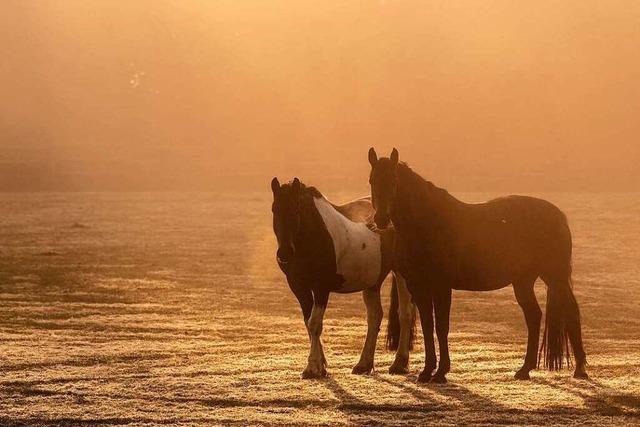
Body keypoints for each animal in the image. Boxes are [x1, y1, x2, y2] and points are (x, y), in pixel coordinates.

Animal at [268, 179, 416, 380]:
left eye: (296, 210)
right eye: (274, 209)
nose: (284, 253)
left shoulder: (321, 288)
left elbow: (315, 324)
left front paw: (313, 367)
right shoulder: (299, 287)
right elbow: (308, 322)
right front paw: (321, 366)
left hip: (401, 274)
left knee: (405, 314)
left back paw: (399, 363)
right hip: (372, 282)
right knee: (375, 317)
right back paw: (363, 364)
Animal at [368, 148, 588, 384]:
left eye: (394, 181)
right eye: (372, 180)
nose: (381, 219)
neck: (426, 223)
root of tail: (558, 215)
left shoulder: (441, 286)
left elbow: (441, 327)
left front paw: (441, 372)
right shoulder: (418, 287)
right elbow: (428, 326)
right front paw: (427, 371)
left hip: (555, 277)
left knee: (571, 312)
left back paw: (580, 369)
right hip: (524, 281)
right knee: (534, 316)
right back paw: (525, 369)